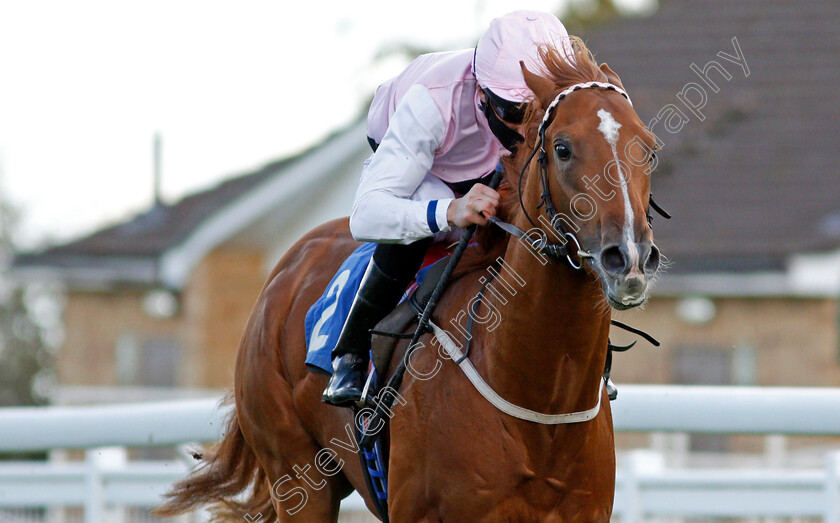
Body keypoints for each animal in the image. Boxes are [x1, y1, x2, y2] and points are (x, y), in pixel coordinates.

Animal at [158, 37, 664, 523]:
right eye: (562, 147)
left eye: (649, 148)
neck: (541, 406)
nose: (629, 258)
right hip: (297, 476)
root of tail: (288, 266)